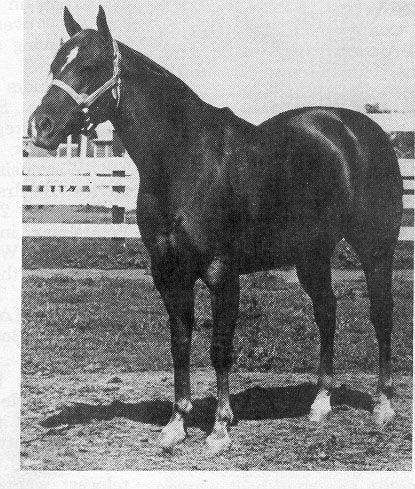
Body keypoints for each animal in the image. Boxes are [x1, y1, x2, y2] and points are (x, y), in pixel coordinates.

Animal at [28, 6, 404, 454]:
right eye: (54, 66)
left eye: (89, 66)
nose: (40, 127)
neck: (185, 159)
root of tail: (365, 132)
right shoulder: (168, 273)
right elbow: (180, 343)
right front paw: (176, 424)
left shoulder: (222, 273)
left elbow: (221, 347)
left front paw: (220, 427)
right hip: (312, 255)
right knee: (327, 311)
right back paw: (320, 403)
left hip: (375, 249)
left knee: (381, 314)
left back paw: (383, 406)